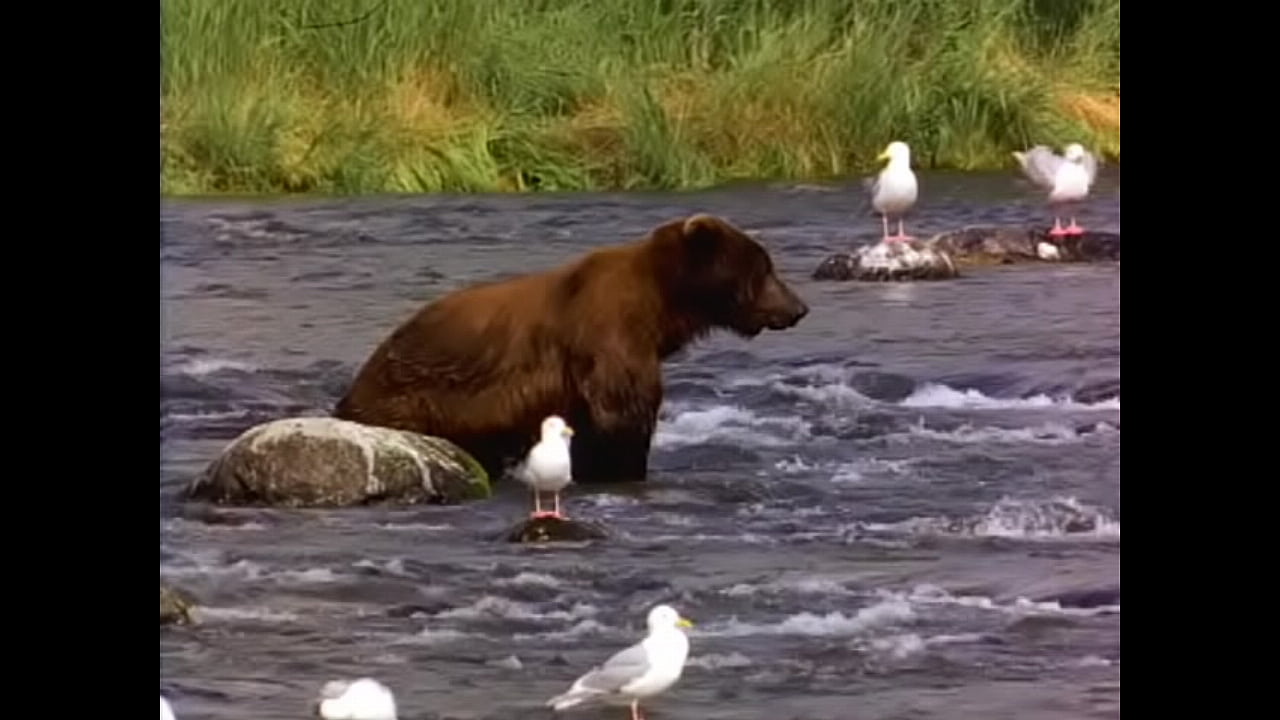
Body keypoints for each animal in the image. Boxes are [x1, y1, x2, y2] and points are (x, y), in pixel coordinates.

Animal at [332, 213, 809, 485]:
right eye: (765, 269)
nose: (799, 307)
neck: (662, 308)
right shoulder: (607, 336)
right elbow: (621, 418)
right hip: (421, 398)